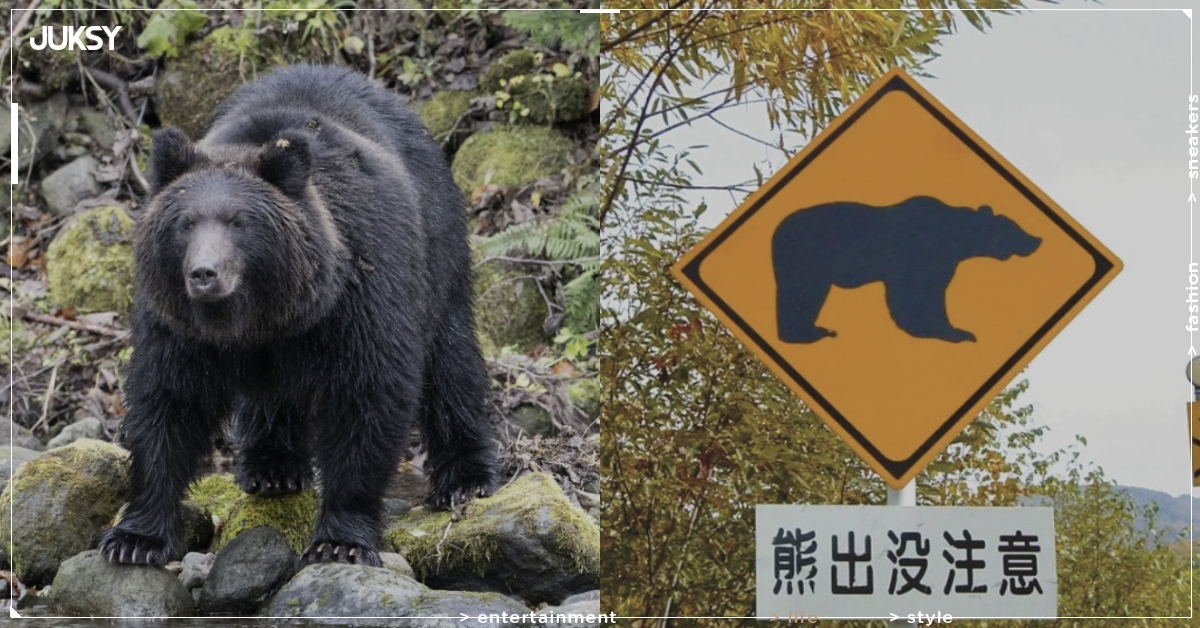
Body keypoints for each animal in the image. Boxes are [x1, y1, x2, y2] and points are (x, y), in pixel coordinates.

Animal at [98, 65, 498, 568]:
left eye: (239, 221)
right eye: (185, 222)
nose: (204, 273)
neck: (264, 316)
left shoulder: (360, 300)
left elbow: (366, 398)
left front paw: (341, 539)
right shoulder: (179, 327)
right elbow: (167, 401)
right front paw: (135, 538)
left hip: (438, 247)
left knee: (451, 358)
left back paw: (466, 477)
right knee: (271, 397)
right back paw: (272, 466)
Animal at [771, 196, 1041, 344]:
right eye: (1013, 227)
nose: (1036, 240)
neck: (955, 239)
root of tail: (777, 230)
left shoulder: (943, 261)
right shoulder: (917, 253)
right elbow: (915, 294)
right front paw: (954, 332)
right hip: (805, 259)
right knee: (801, 291)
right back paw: (811, 333)